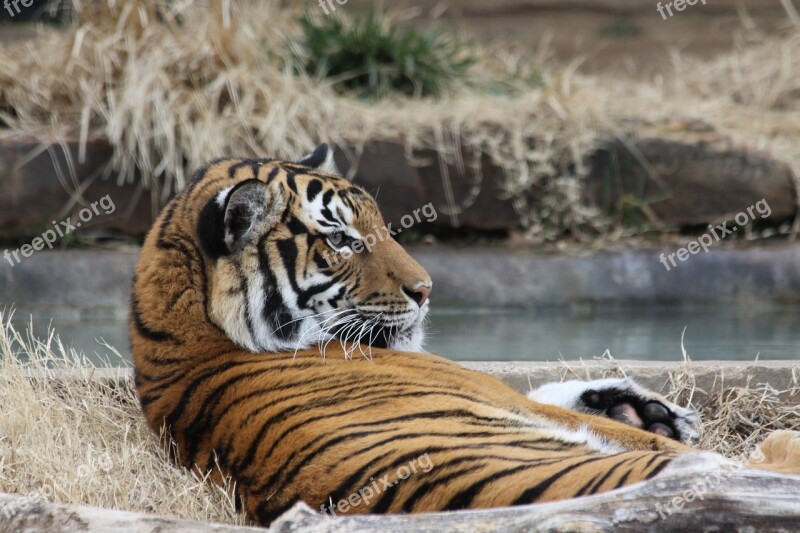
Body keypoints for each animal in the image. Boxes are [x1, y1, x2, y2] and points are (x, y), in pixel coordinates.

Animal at [131, 143, 800, 524]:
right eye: (342, 239)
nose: (426, 290)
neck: (180, 332)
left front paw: (637, 403)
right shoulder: (490, 390)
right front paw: (641, 413)